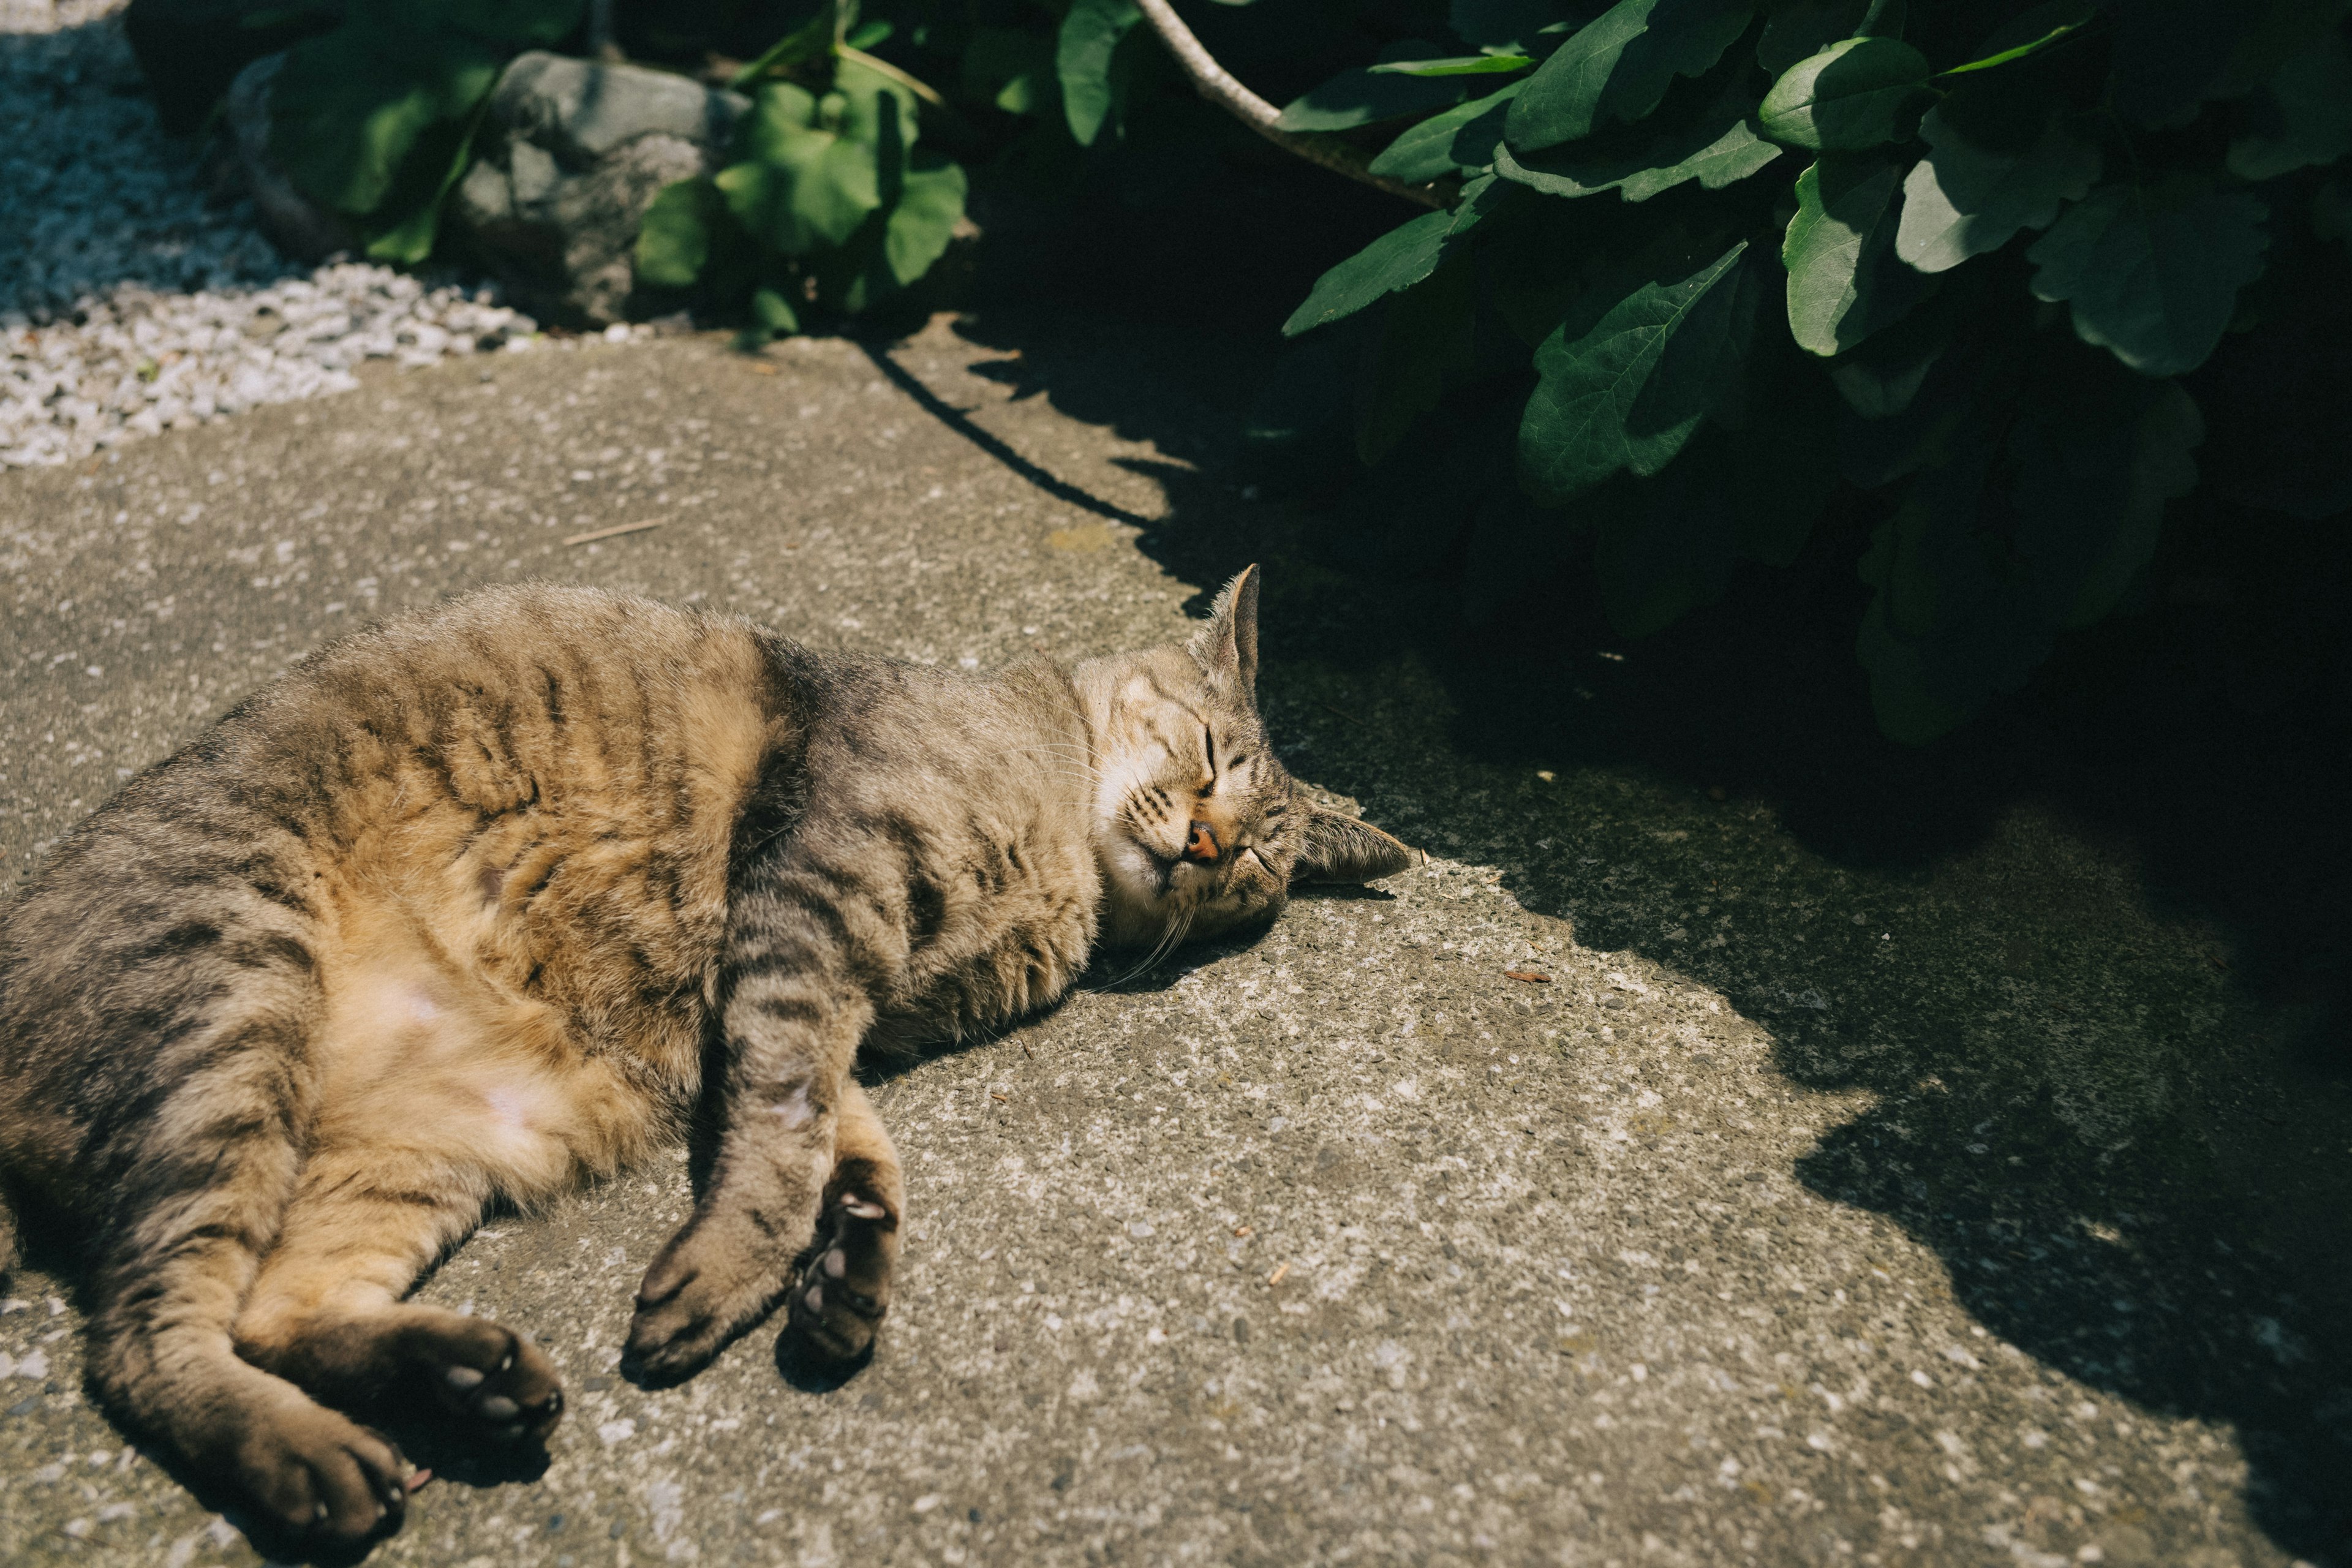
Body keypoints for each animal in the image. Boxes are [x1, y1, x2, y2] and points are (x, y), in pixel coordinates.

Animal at [0, 562, 1401, 1542]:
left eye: (1259, 861)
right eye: (1212, 757)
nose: (1212, 844)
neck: (1059, 847)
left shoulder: (819, 989)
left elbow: (835, 1136)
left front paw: (848, 1265)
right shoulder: (814, 903)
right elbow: (782, 1131)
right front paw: (742, 1268)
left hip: (417, 1152)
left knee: (275, 1305)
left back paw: (464, 1380)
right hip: (234, 1002)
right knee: (146, 1338)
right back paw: (315, 1459)